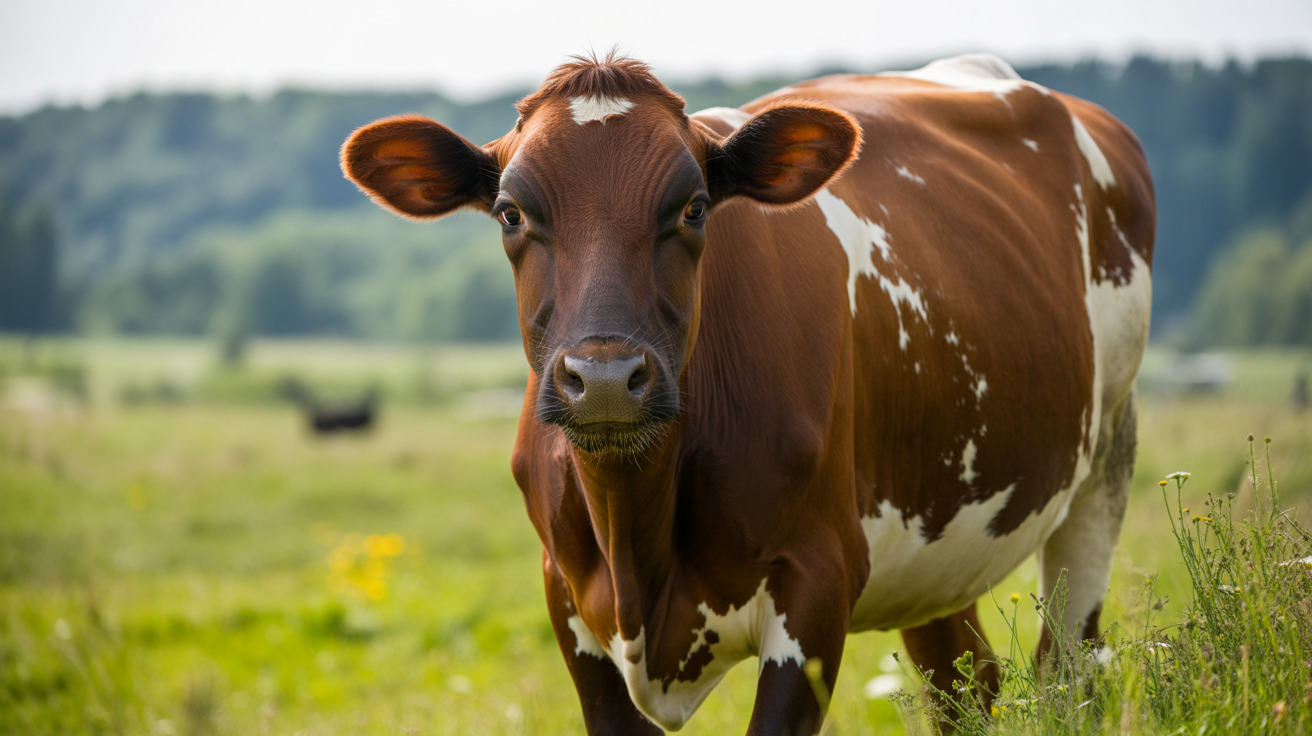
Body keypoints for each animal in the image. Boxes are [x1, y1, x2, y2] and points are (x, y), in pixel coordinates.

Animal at [341, 52, 1154, 735]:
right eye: (512, 213)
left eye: (694, 207)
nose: (603, 380)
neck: (637, 534)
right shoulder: (568, 600)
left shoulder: (817, 583)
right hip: (935, 550)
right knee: (965, 683)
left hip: (1105, 463)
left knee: (1067, 671)